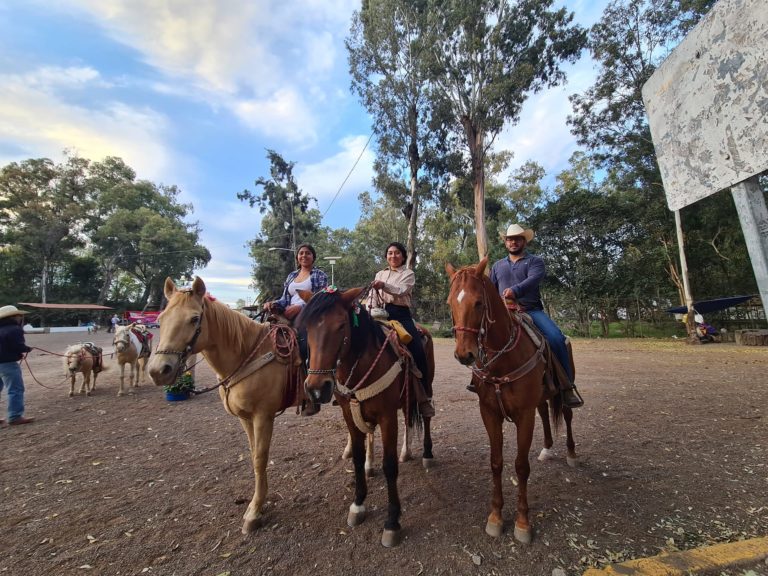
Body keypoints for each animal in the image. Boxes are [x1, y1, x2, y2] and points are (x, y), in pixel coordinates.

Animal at [146, 276, 304, 532]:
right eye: (160, 319)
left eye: (194, 318)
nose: (159, 370)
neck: (247, 353)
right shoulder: (246, 418)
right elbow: (253, 454)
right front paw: (259, 503)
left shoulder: (264, 416)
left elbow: (260, 458)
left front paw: (254, 512)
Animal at [296, 286, 436, 548]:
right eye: (307, 328)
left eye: (341, 325)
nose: (317, 388)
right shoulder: (350, 415)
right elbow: (358, 459)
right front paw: (358, 505)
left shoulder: (387, 417)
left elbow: (389, 466)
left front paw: (392, 521)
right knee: (408, 420)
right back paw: (406, 452)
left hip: (426, 386)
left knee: (426, 416)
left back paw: (427, 454)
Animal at [444, 258, 576, 544]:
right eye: (450, 303)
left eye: (478, 303)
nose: (464, 354)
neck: (503, 358)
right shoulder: (489, 413)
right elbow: (496, 463)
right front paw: (495, 517)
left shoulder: (524, 415)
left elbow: (521, 466)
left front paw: (523, 523)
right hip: (541, 397)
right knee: (545, 414)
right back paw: (547, 449)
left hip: (563, 390)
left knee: (568, 415)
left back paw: (571, 453)